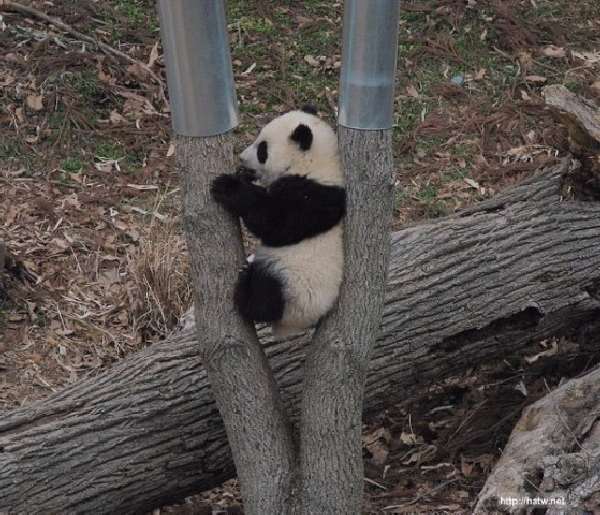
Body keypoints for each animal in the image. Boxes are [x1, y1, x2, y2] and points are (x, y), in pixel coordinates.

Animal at [211, 106, 344, 338]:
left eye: (262, 150)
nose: (241, 158)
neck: (314, 165)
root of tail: (292, 327)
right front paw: (242, 175)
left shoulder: (312, 199)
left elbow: (272, 222)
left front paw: (228, 186)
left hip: (294, 286)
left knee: (268, 296)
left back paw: (246, 287)